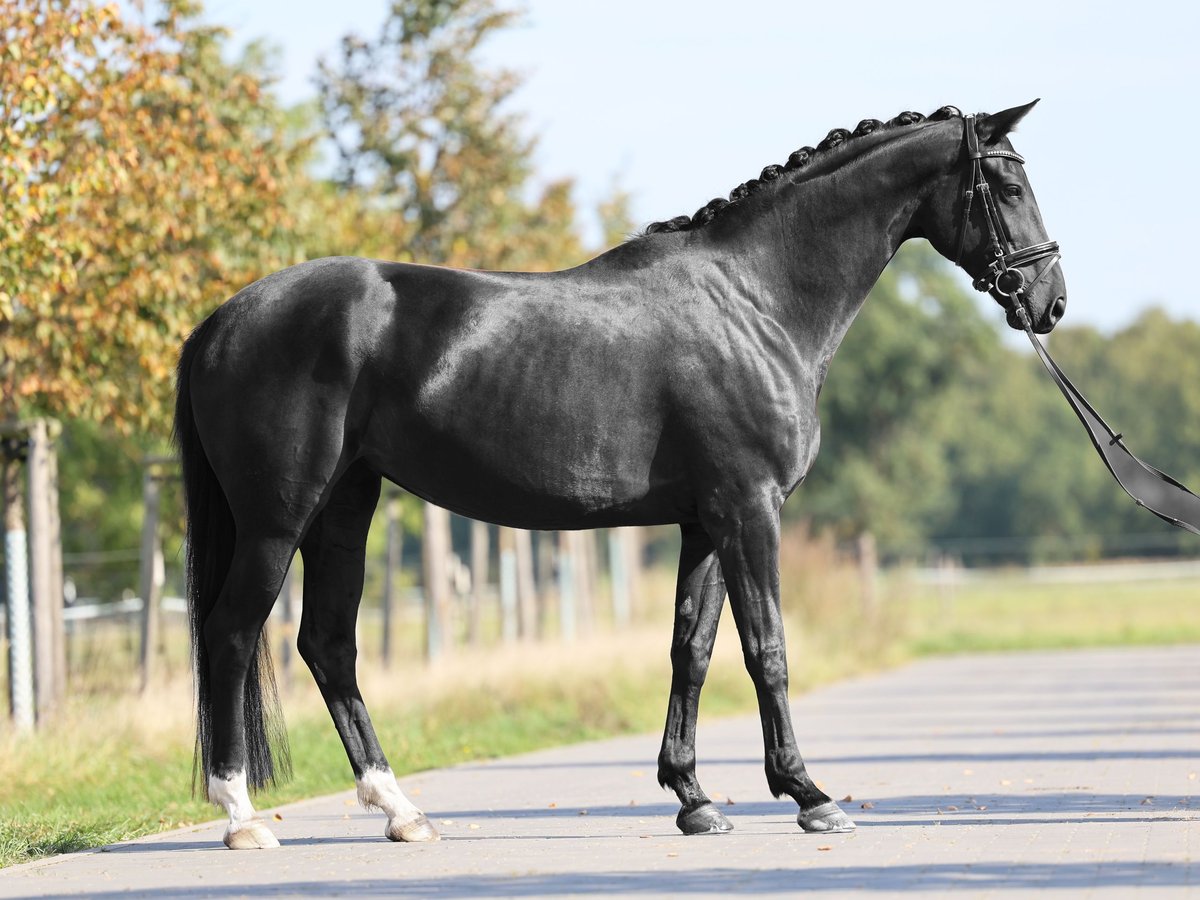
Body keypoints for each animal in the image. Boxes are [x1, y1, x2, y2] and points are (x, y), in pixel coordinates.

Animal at [174, 101, 1066, 849]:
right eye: (1010, 183)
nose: (1049, 301)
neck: (755, 300)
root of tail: (220, 321)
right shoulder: (751, 511)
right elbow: (767, 649)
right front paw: (810, 796)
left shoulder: (706, 520)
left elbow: (691, 650)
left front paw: (694, 800)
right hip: (277, 520)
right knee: (231, 632)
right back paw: (242, 816)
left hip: (345, 507)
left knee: (327, 643)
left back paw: (400, 811)